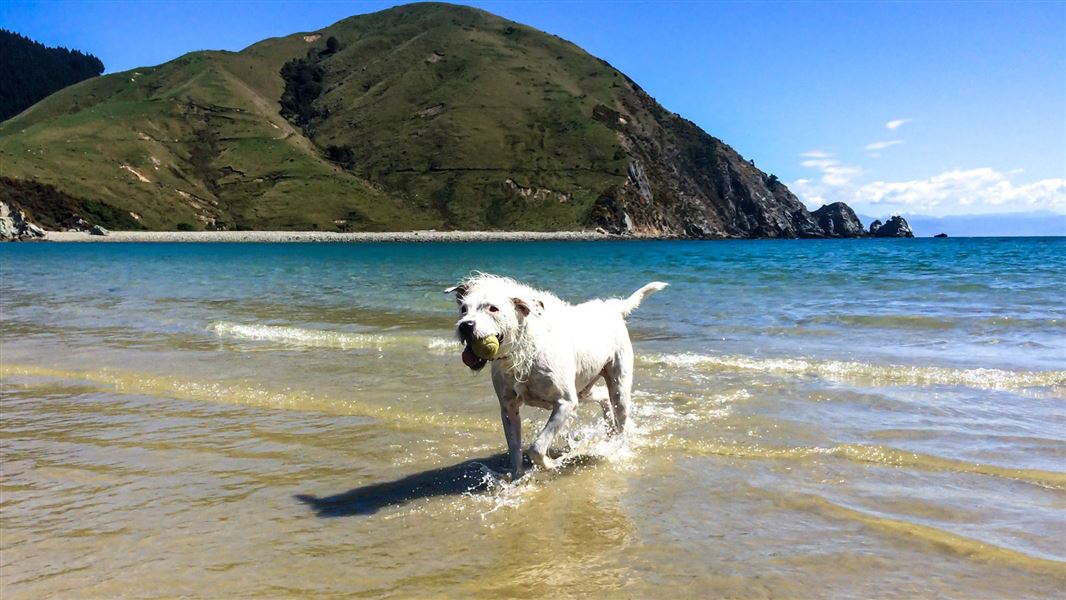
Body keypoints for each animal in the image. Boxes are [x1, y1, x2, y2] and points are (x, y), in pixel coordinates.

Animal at [447, 274, 665, 479]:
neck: (523, 350)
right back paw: (609, 428)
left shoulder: (565, 403)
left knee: (621, 417)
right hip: (583, 388)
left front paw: (550, 464)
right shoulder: (508, 409)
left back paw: (617, 447)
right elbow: (514, 450)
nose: (465, 325)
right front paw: (518, 480)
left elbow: (536, 447)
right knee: (603, 394)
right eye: (464, 309)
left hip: (618, 384)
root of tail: (611, 309)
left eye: (493, 309)